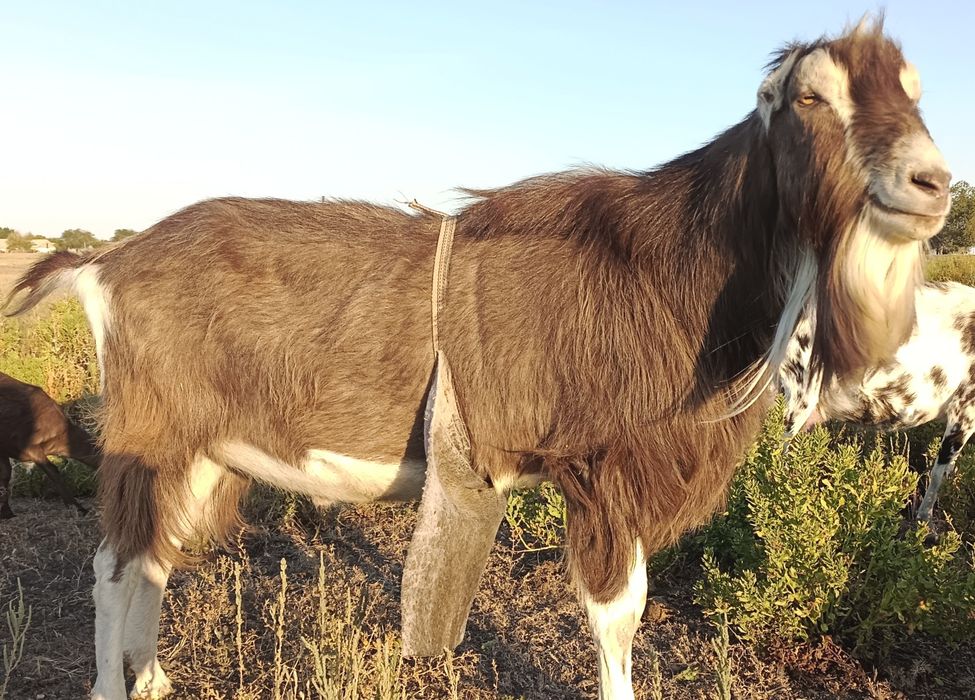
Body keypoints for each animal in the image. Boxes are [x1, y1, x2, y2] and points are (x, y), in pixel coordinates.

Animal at [0, 372, 100, 519]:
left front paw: (7, 512)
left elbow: (5, 474)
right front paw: (79, 508)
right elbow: (53, 471)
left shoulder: (5, 449)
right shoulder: (26, 445)